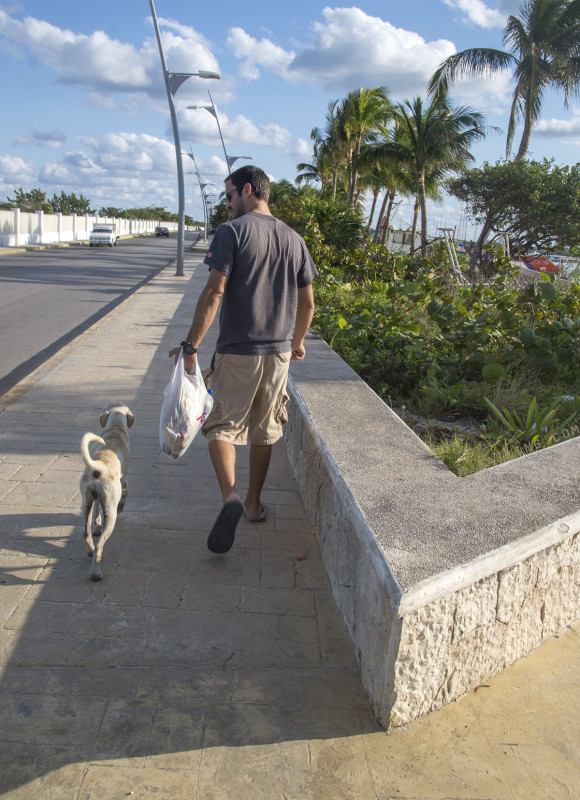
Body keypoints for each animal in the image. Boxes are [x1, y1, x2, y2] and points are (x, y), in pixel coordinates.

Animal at [79, 400, 135, 580]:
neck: (115, 428)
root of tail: (99, 466)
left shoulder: (95, 499)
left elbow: (96, 513)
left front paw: (96, 525)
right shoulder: (123, 479)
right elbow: (126, 490)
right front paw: (122, 505)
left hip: (86, 502)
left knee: (86, 532)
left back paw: (89, 550)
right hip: (110, 511)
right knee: (100, 546)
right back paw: (96, 573)